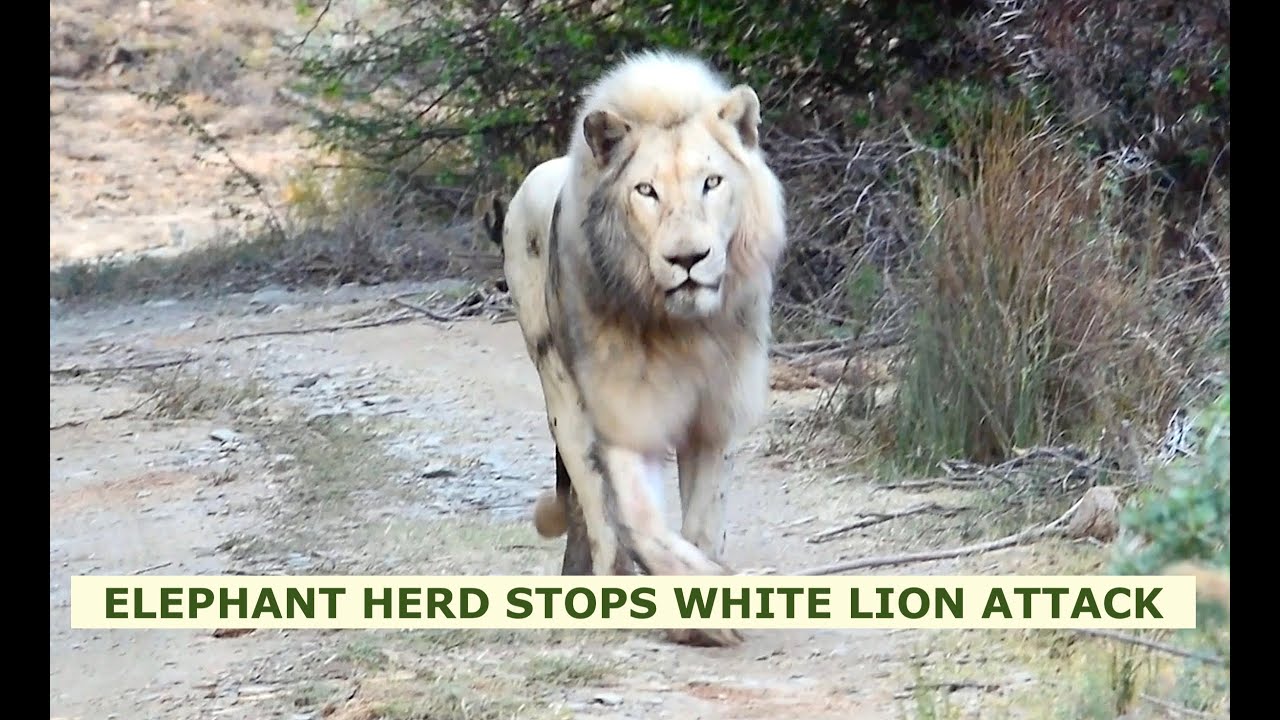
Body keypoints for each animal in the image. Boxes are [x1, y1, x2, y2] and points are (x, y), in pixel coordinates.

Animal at [476, 50, 787, 647]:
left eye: (712, 182)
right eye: (646, 191)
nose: (688, 259)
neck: (683, 331)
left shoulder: (715, 417)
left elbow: (702, 522)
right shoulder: (623, 417)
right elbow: (644, 526)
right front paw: (705, 609)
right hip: (560, 390)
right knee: (597, 510)